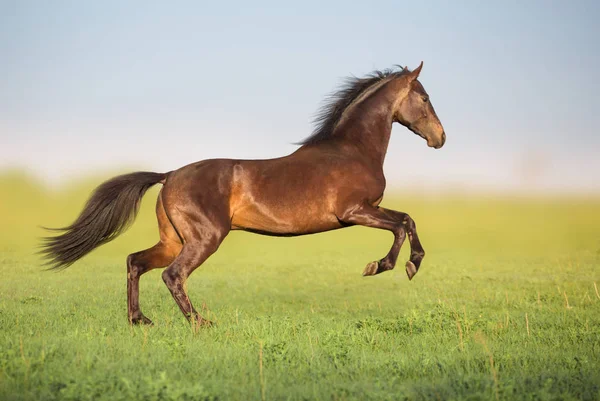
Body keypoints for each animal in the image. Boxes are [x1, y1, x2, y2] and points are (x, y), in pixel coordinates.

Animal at [41, 62, 446, 324]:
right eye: (425, 97)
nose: (440, 138)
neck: (352, 150)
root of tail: (168, 176)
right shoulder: (354, 211)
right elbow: (401, 224)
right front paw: (387, 266)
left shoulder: (364, 211)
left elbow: (406, 220)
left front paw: (407, 263)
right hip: (204, 238)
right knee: (172, 275)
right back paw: (200, 323)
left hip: (174, 240)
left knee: (135, 262)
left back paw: (140, 320)